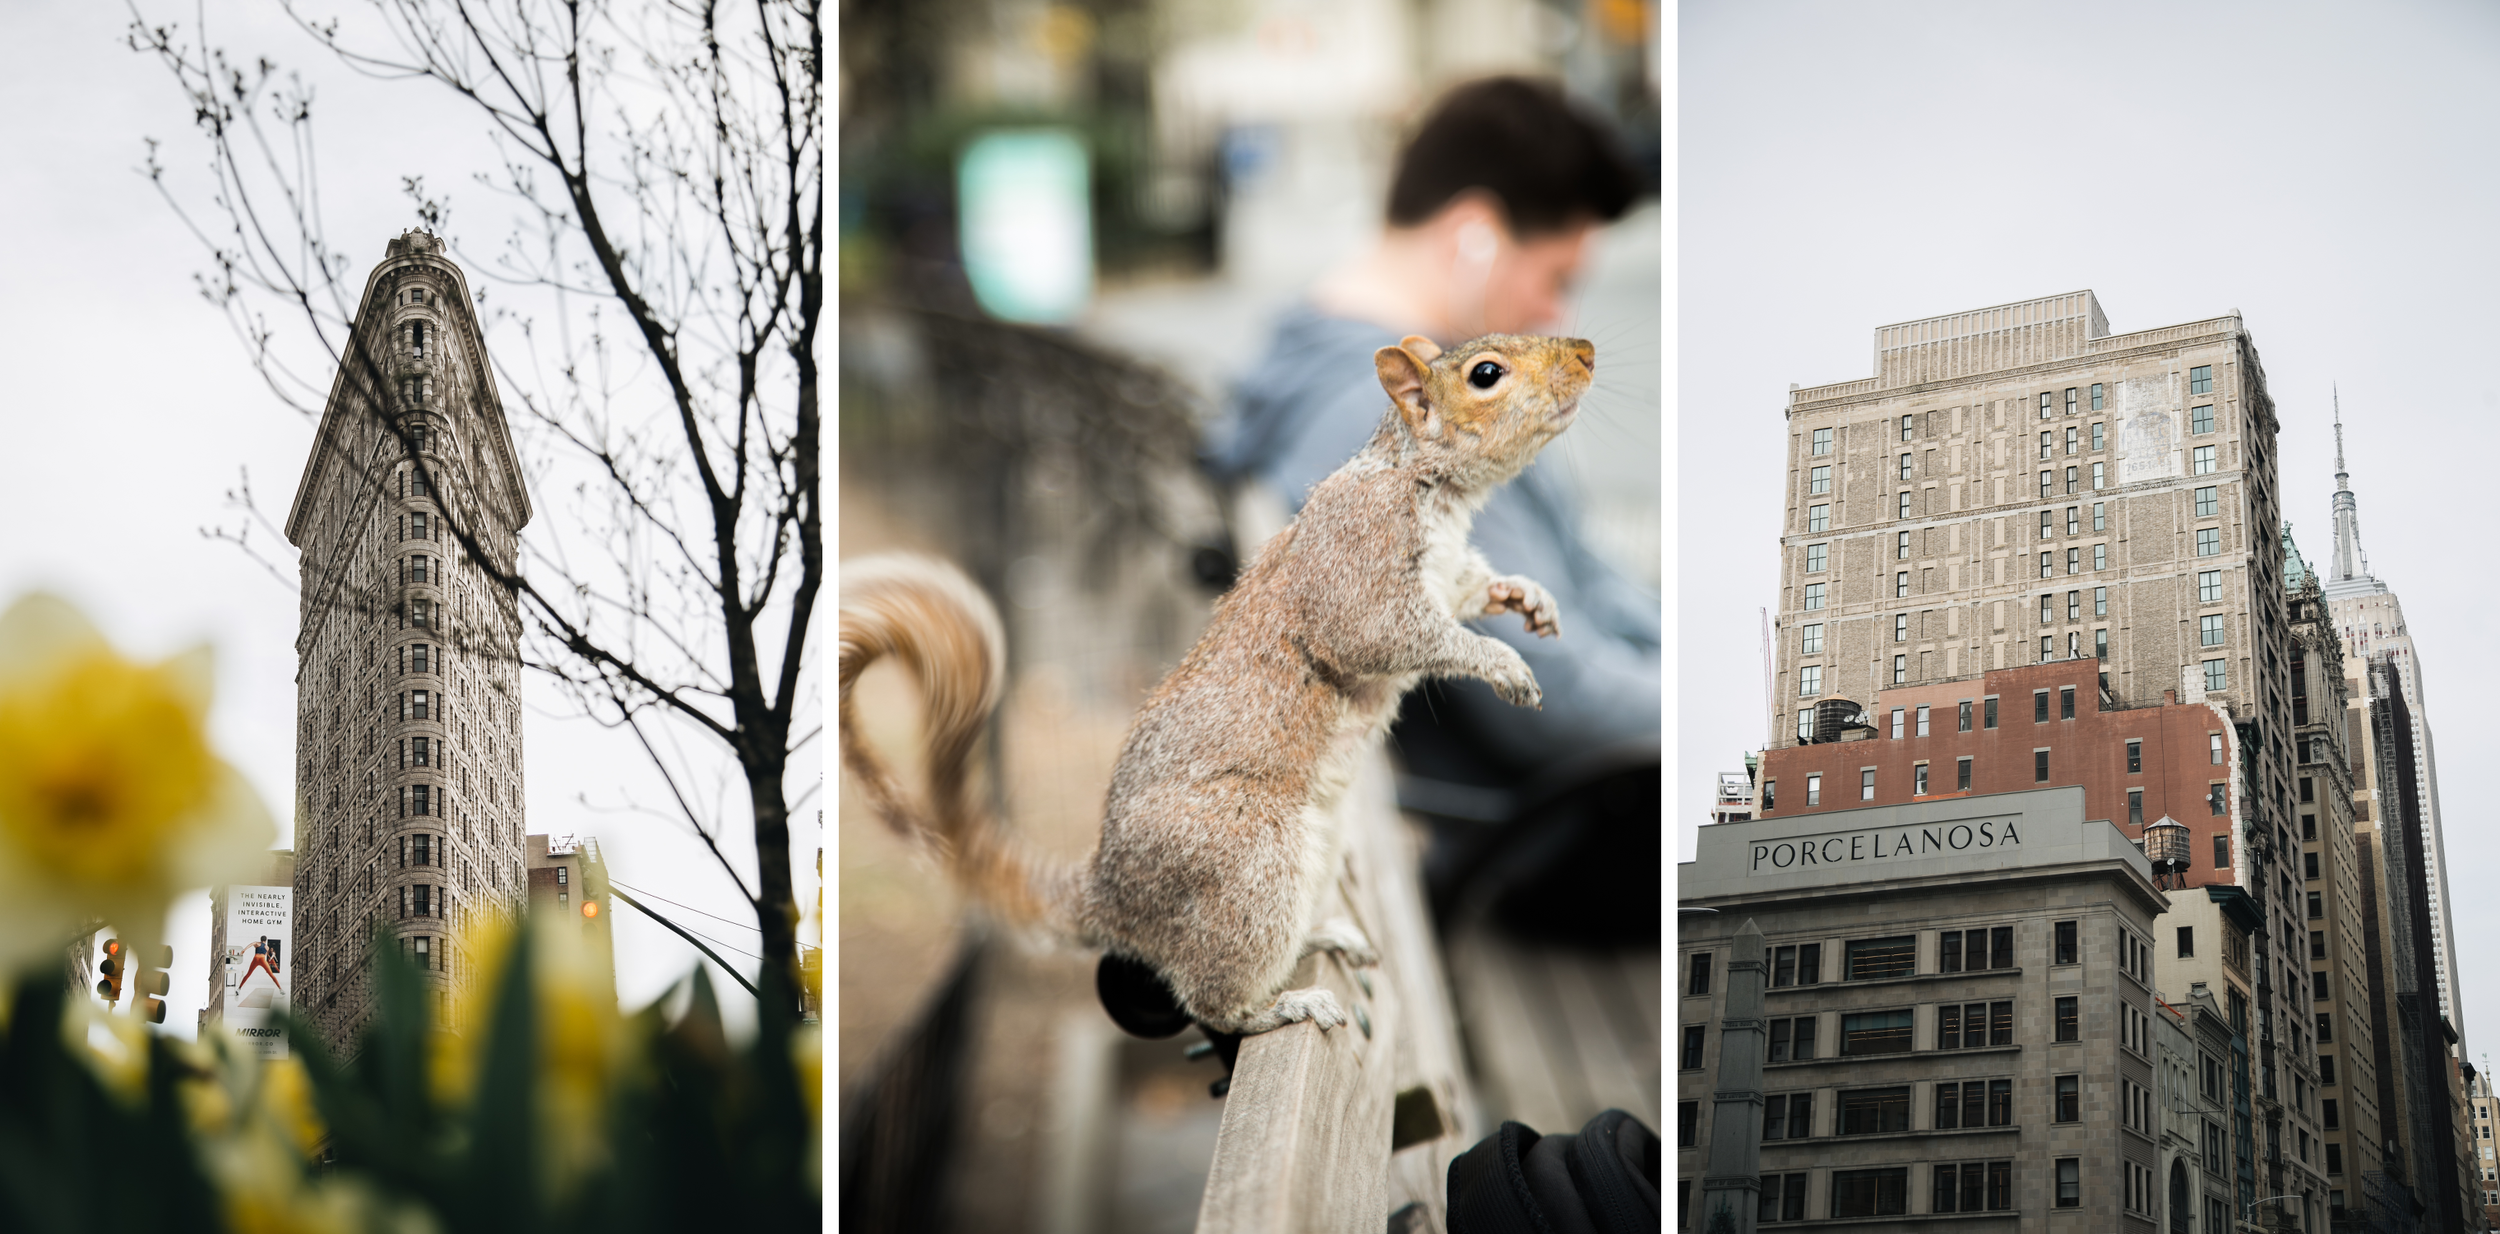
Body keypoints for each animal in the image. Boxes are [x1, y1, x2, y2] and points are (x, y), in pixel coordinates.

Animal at [835, 332, 1580, 1034]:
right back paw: (1278, 1007)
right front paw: (1502, 664)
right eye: (1486, 374)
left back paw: (1323, 935)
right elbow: (1379, 632)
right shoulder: (1358, 550)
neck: (1436, 490)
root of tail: (1113, 893)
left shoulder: (1448, 572)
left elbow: (1469, 590)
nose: (1587, 353)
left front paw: (1528, 598)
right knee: (1209, 997)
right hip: (1249, 862)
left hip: (1312, 849)